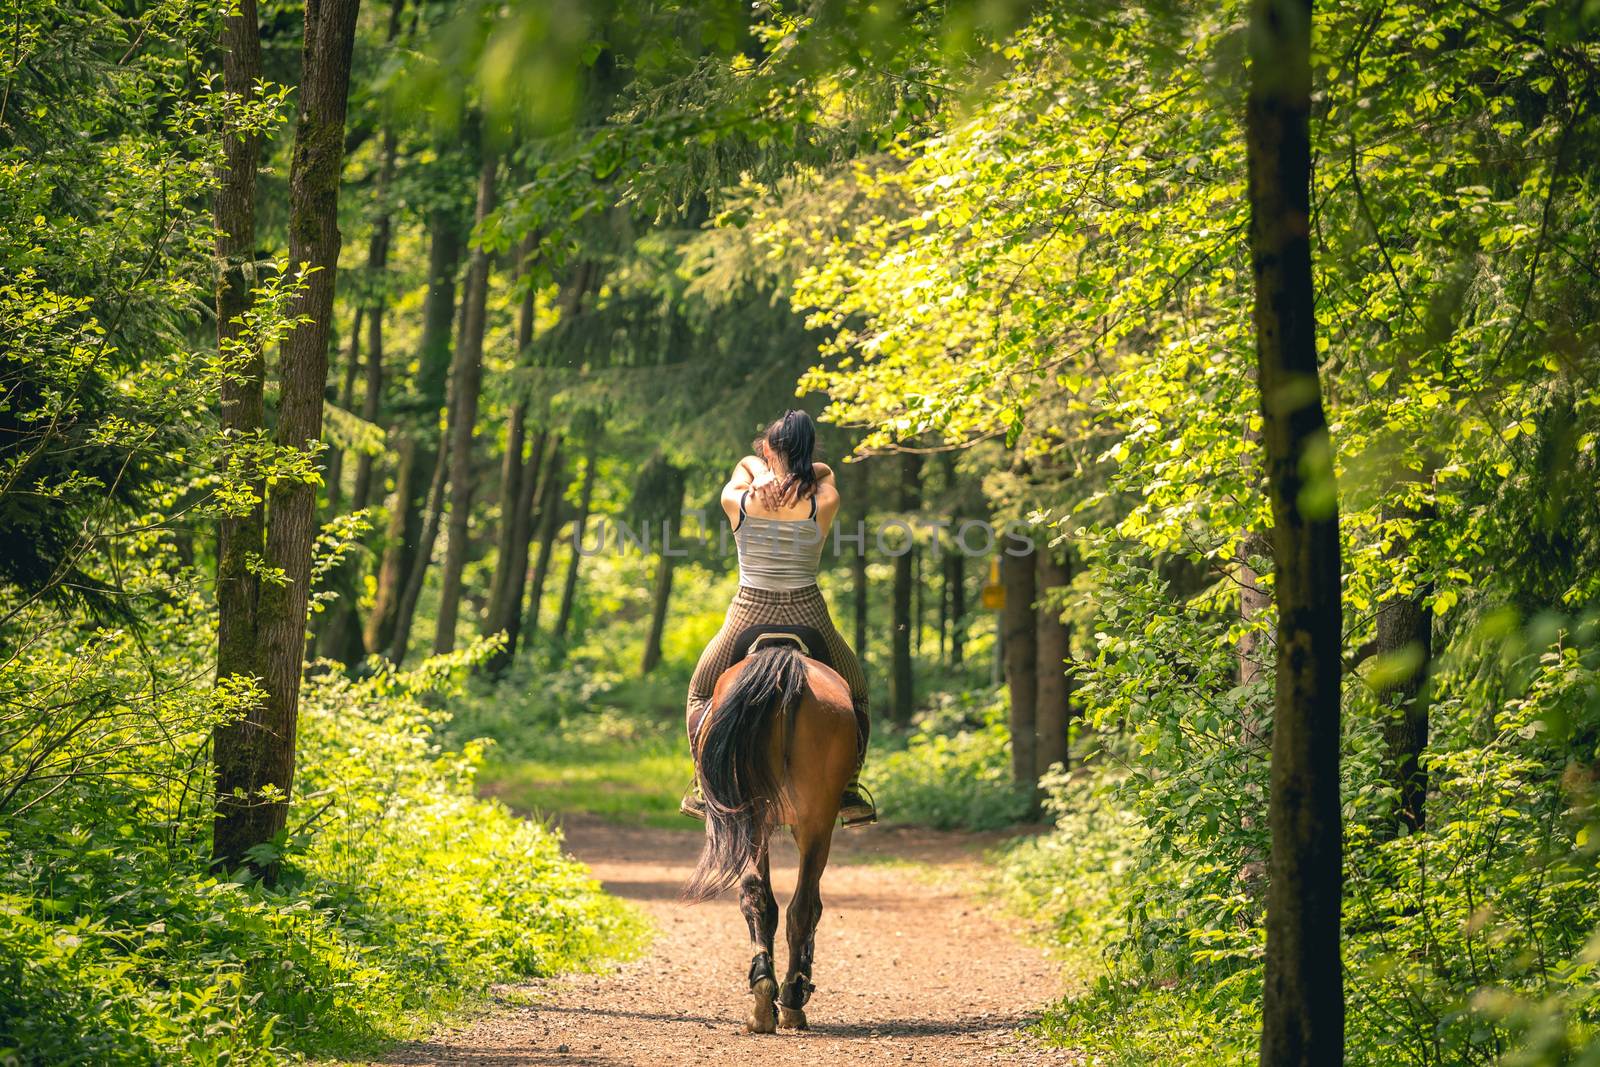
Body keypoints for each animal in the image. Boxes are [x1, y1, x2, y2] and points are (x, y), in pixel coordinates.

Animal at [684, 633, 864, 1036]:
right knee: (798, 906)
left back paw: (768, 999)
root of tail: (784, 664)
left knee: (766, 899)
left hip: (764, 817)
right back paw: (787, 999)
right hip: (811, 821)